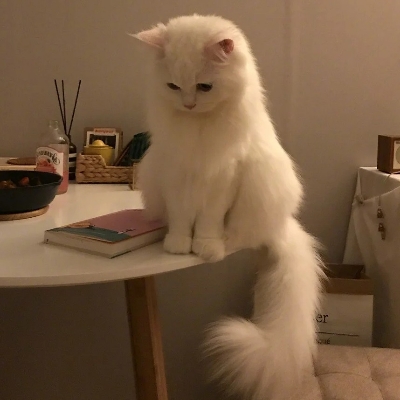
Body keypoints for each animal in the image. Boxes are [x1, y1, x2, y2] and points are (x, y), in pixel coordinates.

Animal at [133, 14, 324, 400]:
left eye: (204, 87)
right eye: (174, 86)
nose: (189, 104)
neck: (197, 127)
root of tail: (283, 225)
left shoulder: (224, 178)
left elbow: (207, 223)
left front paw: (203, 247)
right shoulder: (176, 176)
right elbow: (181, 219)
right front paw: (178, 246)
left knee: (239, 237)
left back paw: (220, 247)